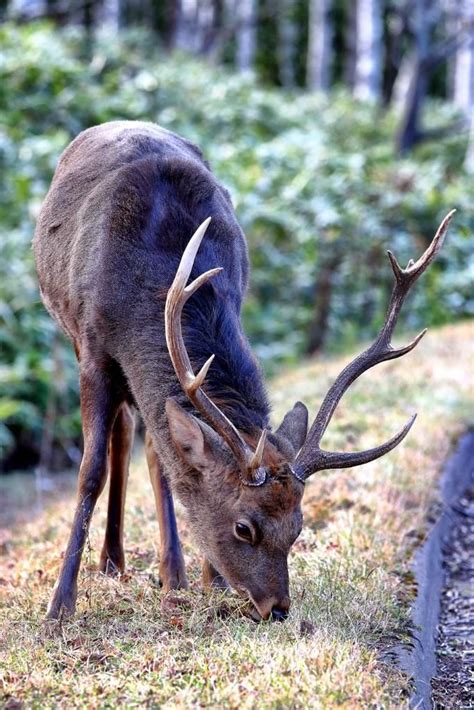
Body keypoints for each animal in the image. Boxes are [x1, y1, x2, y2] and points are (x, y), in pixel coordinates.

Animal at [33, 121, 452, 624]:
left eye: (297, 528)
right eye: (243, 528)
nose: (277, 608)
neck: (145, 288)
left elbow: (166, 456)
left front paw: (211, 583)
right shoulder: (93, 346)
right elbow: (89, 470)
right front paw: (60, 606)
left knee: (155, 445)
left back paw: (172, 573)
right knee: (125, 429)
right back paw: (112, 561)